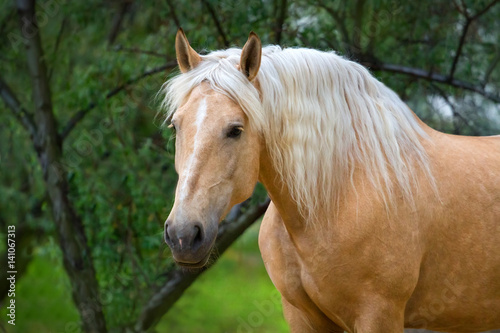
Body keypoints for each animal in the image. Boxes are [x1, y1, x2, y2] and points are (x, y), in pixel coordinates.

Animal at [161, 29, 500, 332]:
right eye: (176, 126)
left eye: (235, 130)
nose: (183, 235)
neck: (341, 194)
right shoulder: (301, 316)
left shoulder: (379, 314)